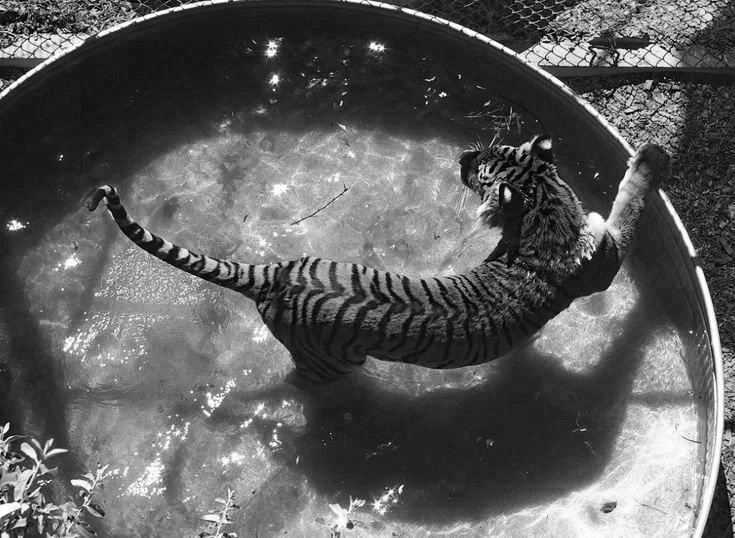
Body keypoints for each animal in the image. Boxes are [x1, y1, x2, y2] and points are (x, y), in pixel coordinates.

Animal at [84, 135, 669, 388]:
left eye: (489, 155)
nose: (460, 155)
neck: (544, 207)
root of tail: (274, 275)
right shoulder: (607, 256)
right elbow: (629, 204)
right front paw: (649, 158)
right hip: (335, 361)